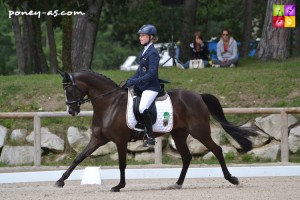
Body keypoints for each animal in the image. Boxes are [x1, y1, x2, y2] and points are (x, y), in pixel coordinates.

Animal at [55, 70, 255, 191]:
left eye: (69, 89)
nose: (71, 111)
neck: (109, 104)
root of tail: (198, 96)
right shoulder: (97, 139)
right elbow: (79, 157)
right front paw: (60, 180)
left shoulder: (120, 140)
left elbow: (121, 164)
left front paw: (119, 186)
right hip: (179, 133)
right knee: (187, 157)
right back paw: (177, 184)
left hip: (200, 131)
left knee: (217, 150)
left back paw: (232, 179)